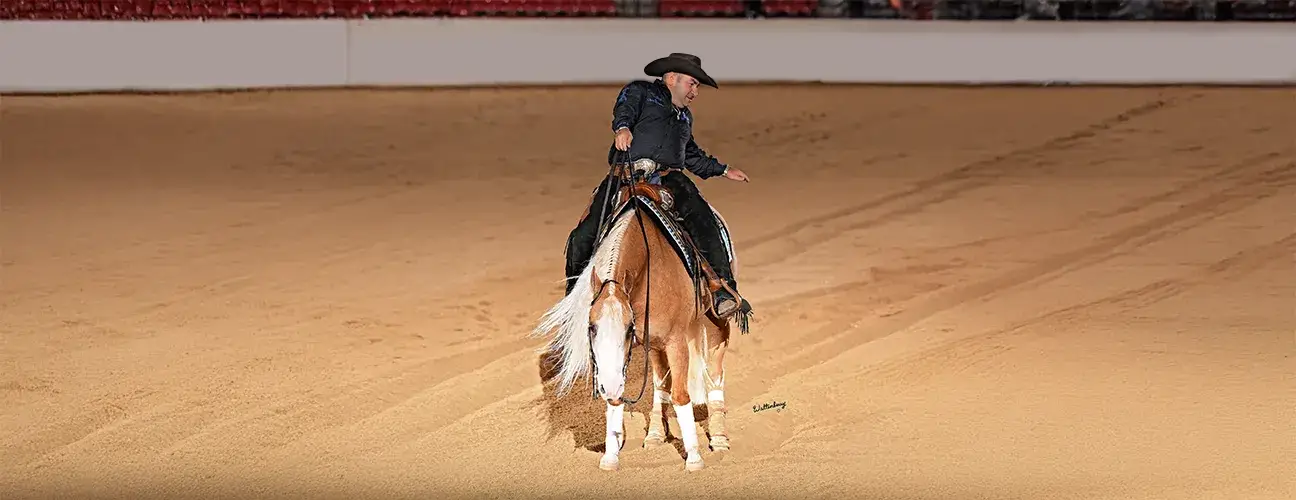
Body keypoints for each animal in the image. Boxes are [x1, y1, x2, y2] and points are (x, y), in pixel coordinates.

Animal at [531, 164, 740, 472]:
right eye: (591, 328)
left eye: (629, 328)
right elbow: (620, 396)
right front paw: (610, 456)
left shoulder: (676, 341)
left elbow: (681, 395)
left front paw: (694, 458)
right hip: (655, 344)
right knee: (660, 384)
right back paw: (654, 436)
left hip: (716, 323)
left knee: (714, 373)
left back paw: (720, 438)